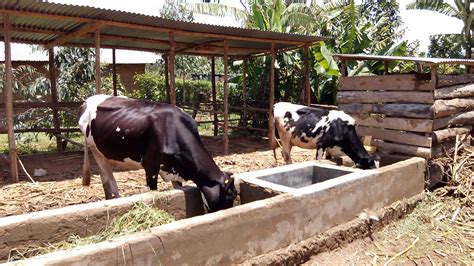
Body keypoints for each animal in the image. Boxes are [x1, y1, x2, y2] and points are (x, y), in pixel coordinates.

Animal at [79, 95, 239, 212]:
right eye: (229, 196)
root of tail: (87, 101)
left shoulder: (175, 170)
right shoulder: (150, 166)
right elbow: (152, 193)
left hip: (102, 153)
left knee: (104, 178)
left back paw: (109, 199)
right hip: (95, 150)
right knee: (111, 181)